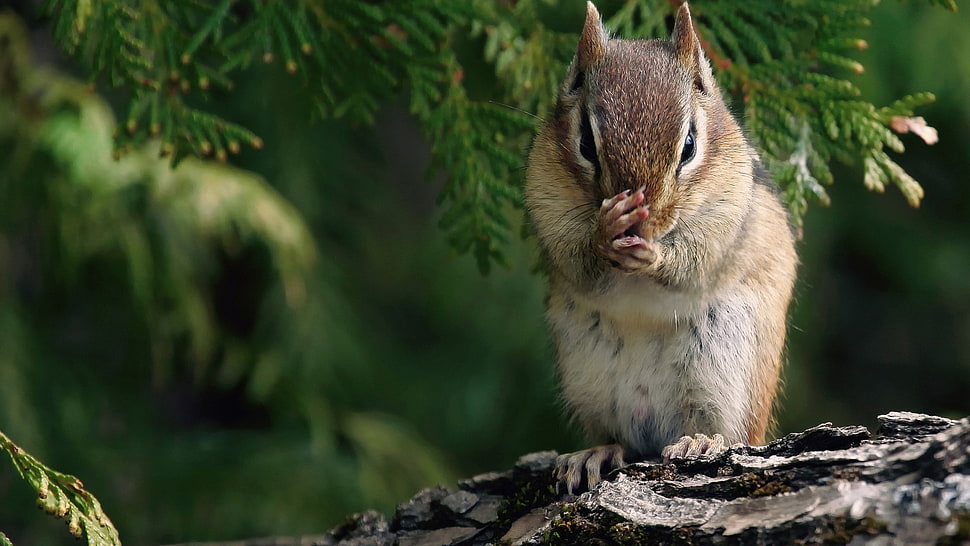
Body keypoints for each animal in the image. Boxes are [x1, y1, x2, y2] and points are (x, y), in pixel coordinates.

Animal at [525, 2, 797, 493]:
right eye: (586, 143)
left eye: (688, 145)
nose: (643, 222)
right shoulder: (546, 201)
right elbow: (576, 258)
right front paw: (605, 232)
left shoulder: (727, 218)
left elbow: (696, 263)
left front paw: (654, 255)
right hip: (587, 375)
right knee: (620, 437)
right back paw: (596, 452)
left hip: (728, 369)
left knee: (729, 432)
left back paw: (700, 441)